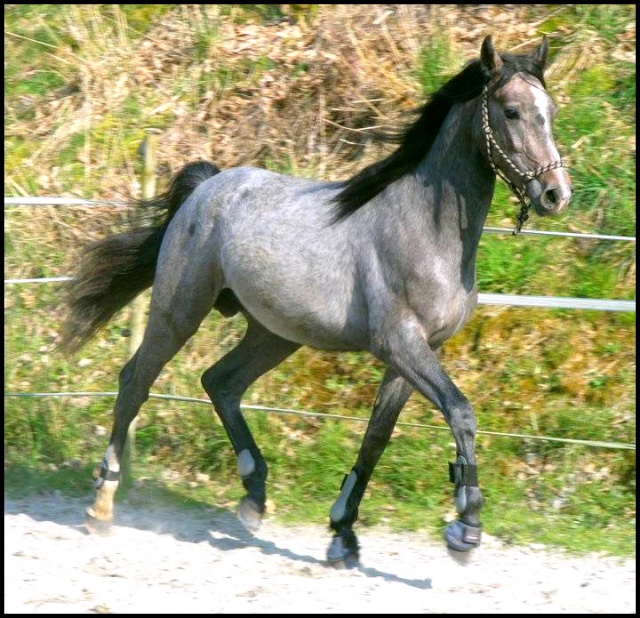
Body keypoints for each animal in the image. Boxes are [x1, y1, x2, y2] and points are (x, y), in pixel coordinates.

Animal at [60, 36, 568, 560]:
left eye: (550, 111)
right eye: (511, 111)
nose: (555, 194)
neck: (426, 232)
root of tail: (207, 187)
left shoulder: (416, 354)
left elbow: (377, 437)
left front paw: (343, 532)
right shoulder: (399, 343)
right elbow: (461, 413)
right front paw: (466, 527)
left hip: (275, 333)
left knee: (220, 382)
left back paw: (254, 496)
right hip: (179, 312)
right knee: (135, 382)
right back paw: (102, 505)